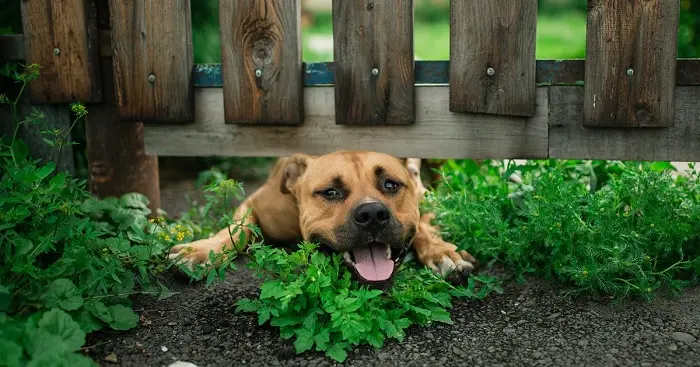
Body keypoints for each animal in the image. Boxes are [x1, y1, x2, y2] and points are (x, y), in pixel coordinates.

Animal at [169, 150, 476, 284]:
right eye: (330, 192)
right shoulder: (256, 203)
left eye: (391, 185)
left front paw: (442, 252)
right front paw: (200, 251)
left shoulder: (426, 199)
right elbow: (236, 228)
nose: (372, 214)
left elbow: (424, 226)